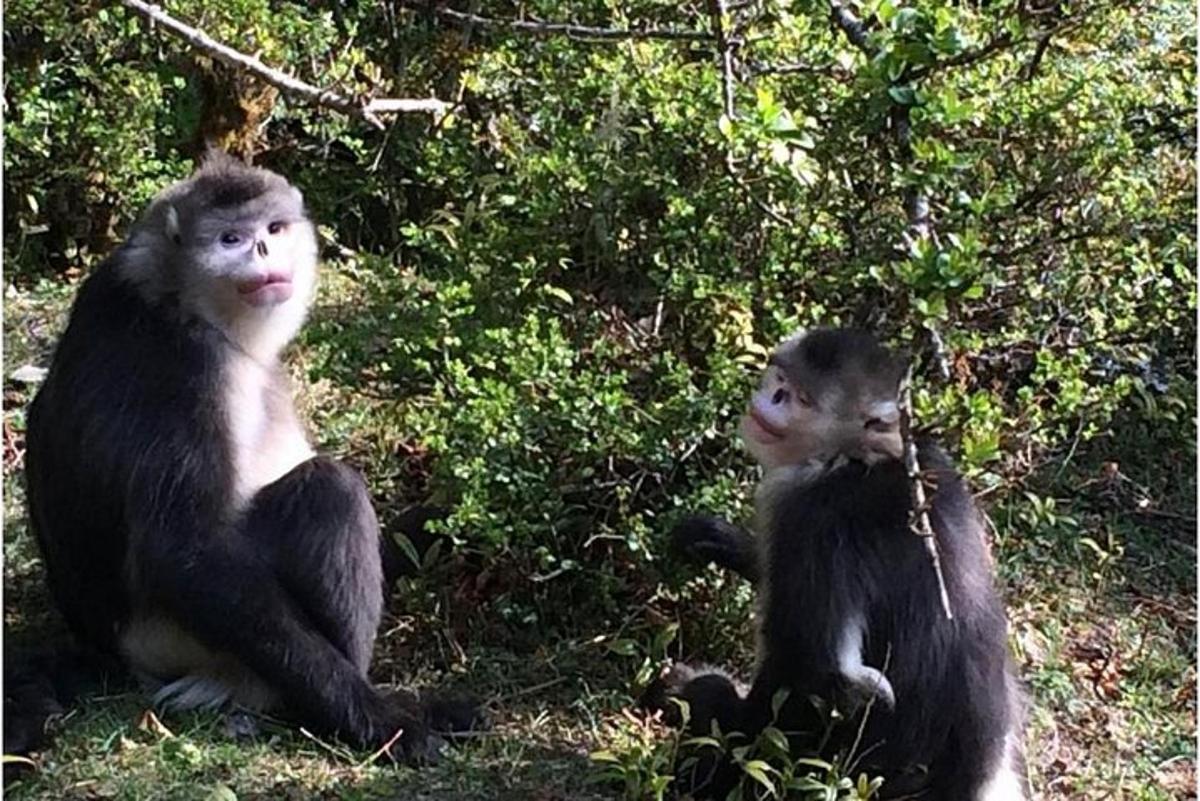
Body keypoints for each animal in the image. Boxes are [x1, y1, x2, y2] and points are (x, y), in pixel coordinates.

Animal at [16, 151, 477, 762]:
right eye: (231, 238)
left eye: (273, 229)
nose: (262, 251)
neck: (175, 294)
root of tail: (116, 656)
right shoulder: (181, 365)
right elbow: (184, 552)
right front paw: (380, 719)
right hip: (179, 642)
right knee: (327, 490)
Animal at [643, 326, 1027, 801]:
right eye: (780, 380)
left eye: (802, 399)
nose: (773, 398)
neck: (862, 458)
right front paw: (721, 541)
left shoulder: (811, 515)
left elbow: (828, 673)